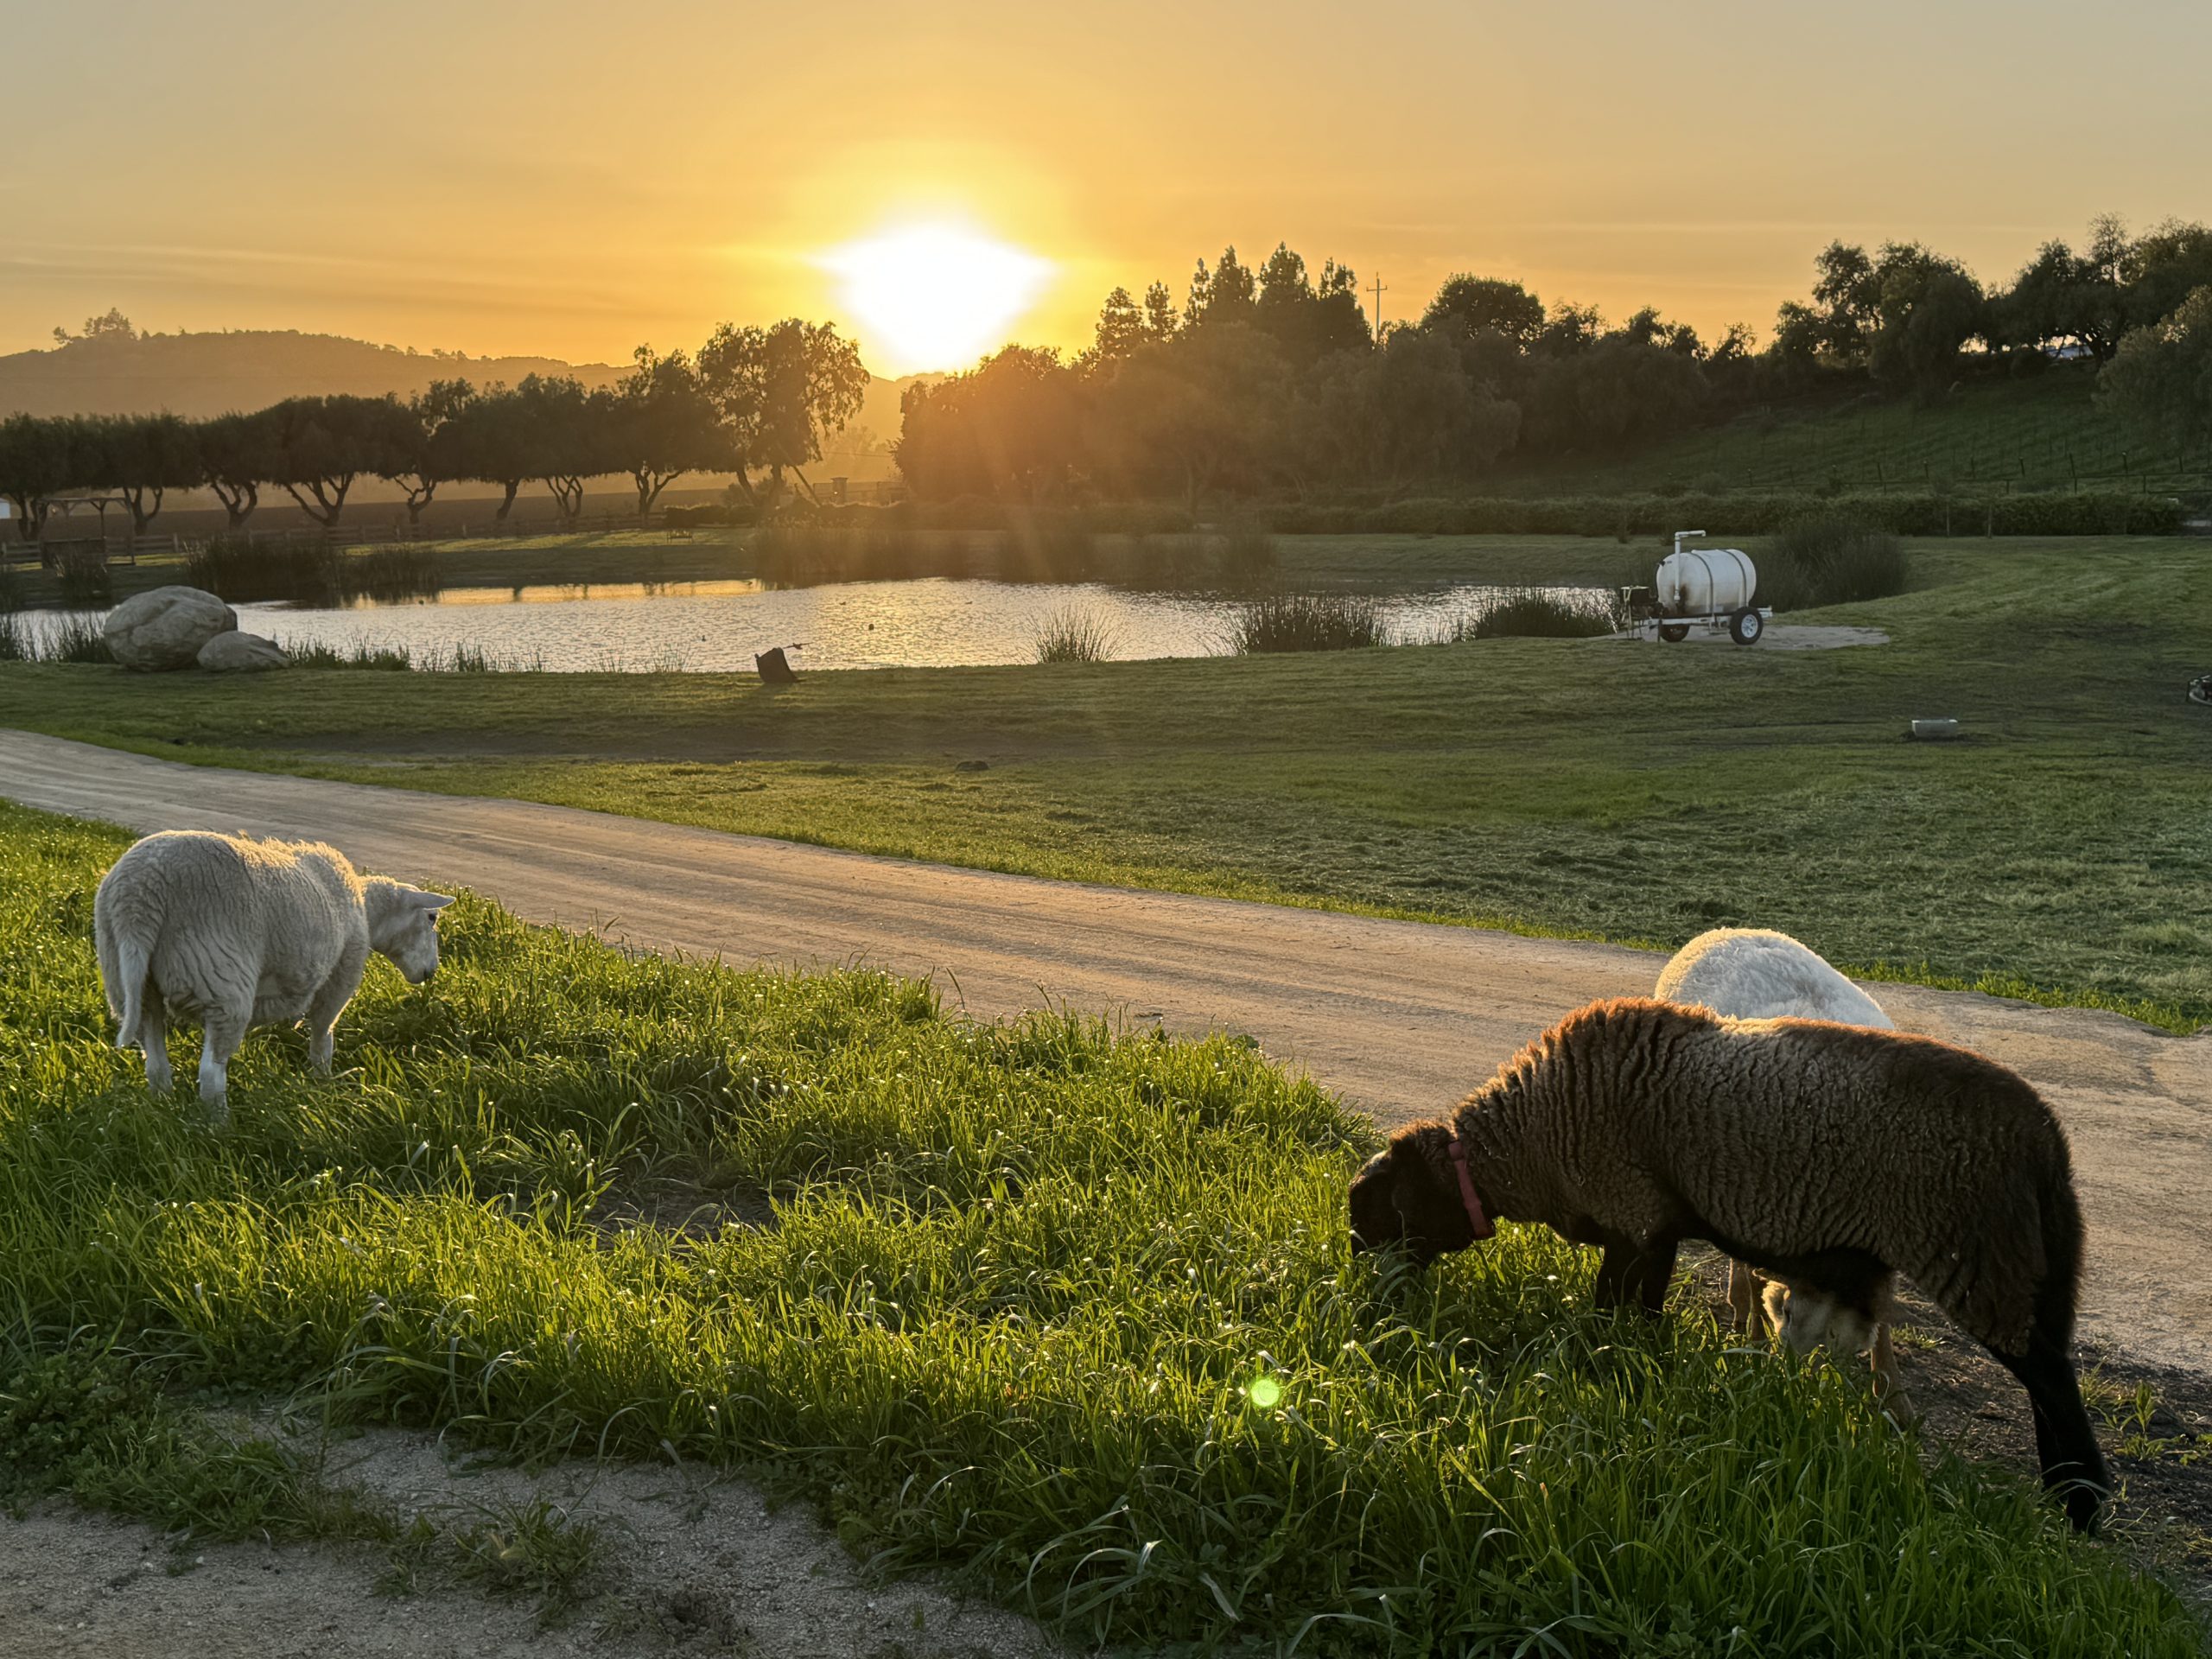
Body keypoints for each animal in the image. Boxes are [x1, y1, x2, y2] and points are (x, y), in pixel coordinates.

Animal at [94, 830, 452, 1122]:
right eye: (432, 918)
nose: (431, 972)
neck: (364, 909)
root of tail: (137, 897)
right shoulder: (341, 974)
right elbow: (323, 1036)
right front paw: (323, 1082)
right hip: (220, 978)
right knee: (210, 1074)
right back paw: (221, 1128)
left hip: (129, 980)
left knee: (155, 1064)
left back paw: (163, 1109)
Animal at [1348, 997, 2109, 1532]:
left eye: (1377, 1215)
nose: (1368, 1301)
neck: (1522, 1149)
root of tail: (2048, 1143)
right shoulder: (1652, 1227)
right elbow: (1637, 1314)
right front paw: (1639, 1375)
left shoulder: (1634, 1218)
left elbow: (1616, 1310)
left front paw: (1611, 1374)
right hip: (2014, 1265)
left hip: (1981, 1260)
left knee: (2050, 1377)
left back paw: (2080, 1505)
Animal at [1654, 928, 1911, 1422]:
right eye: (1787, 1313)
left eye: (1832, 1338)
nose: (1789, 1379)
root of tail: (1724, 931)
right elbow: (1757, 1279)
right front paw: (1754, 1349)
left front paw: (1892, 1395)